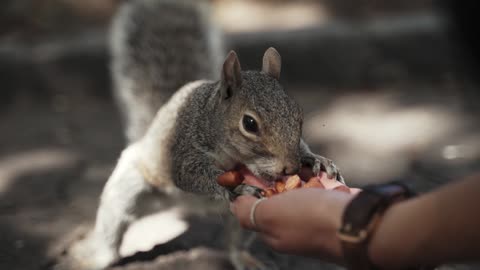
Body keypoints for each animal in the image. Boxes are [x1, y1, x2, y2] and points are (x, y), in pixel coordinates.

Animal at [63, 1, 344, 268]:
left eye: (299, 115)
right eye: (249, 124)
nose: (290, 168)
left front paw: (316, 160)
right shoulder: (183, 148)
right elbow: (188, 174)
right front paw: (234, 186)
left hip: (239, 221)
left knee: (233, 243)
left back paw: (244, 259)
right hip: (130, 189)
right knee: (113, 228)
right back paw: (96, 258)